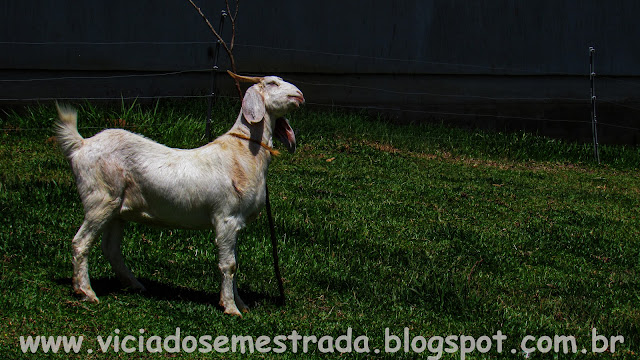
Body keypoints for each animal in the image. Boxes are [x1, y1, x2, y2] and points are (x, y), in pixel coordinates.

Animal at [54, 72, 302, 316]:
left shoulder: (236, 223)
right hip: (100, 200)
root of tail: (80, 145)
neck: (243, 153)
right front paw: (230, 308)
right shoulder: (226, 218)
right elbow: (228, 265)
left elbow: (234, 264)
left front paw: (240, 304)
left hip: (117, 210)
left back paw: (134, 285)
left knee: (111, 249)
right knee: (80, 243)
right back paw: (86, 291)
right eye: (272, 83)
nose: (299, 95)